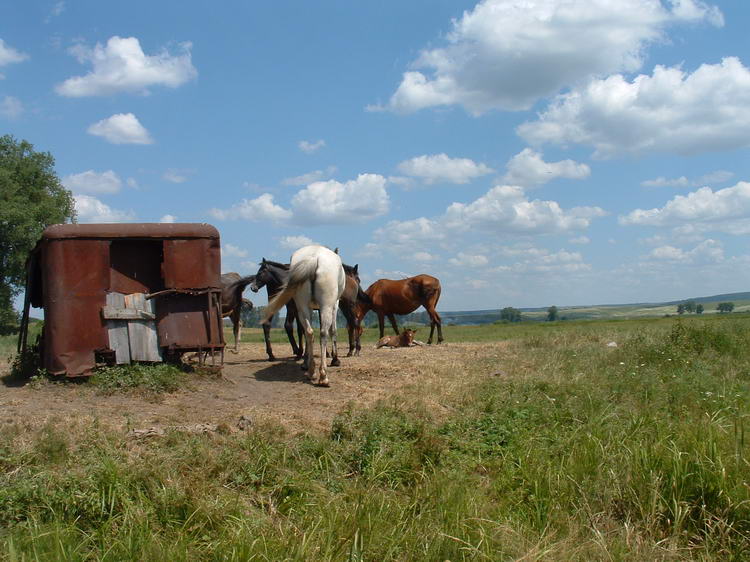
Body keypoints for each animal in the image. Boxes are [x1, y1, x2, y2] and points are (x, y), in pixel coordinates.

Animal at [262, 245, 346, 384]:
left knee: (308, 332)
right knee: (323, 333)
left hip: (302, 307)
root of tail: (314, 258)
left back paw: (311, 370)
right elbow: (333, 330)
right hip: (326, 306)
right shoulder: (335, 305)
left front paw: (305, 361)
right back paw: (323, 376)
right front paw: (335, 359)